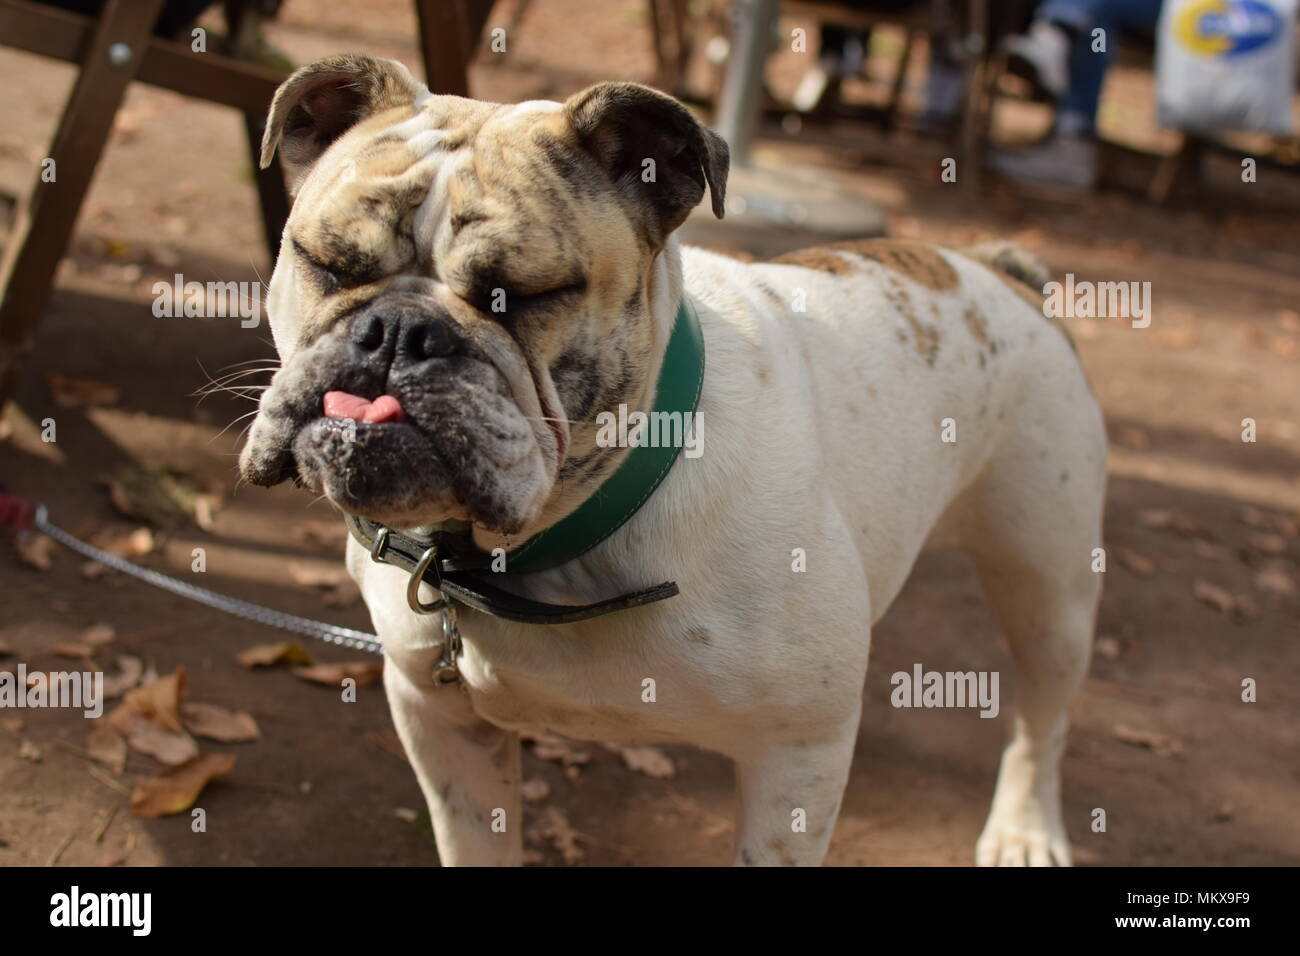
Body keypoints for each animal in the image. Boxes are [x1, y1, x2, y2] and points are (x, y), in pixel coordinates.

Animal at [239, 54, 1102, 868]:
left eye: (520, 295)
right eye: (325, 262)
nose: (397, 332)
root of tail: (996, 272)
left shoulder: (798, 757)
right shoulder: (442, 724)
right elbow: (477, 841)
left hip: (1048, 587)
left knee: (1044, 720)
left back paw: (1026, 829)